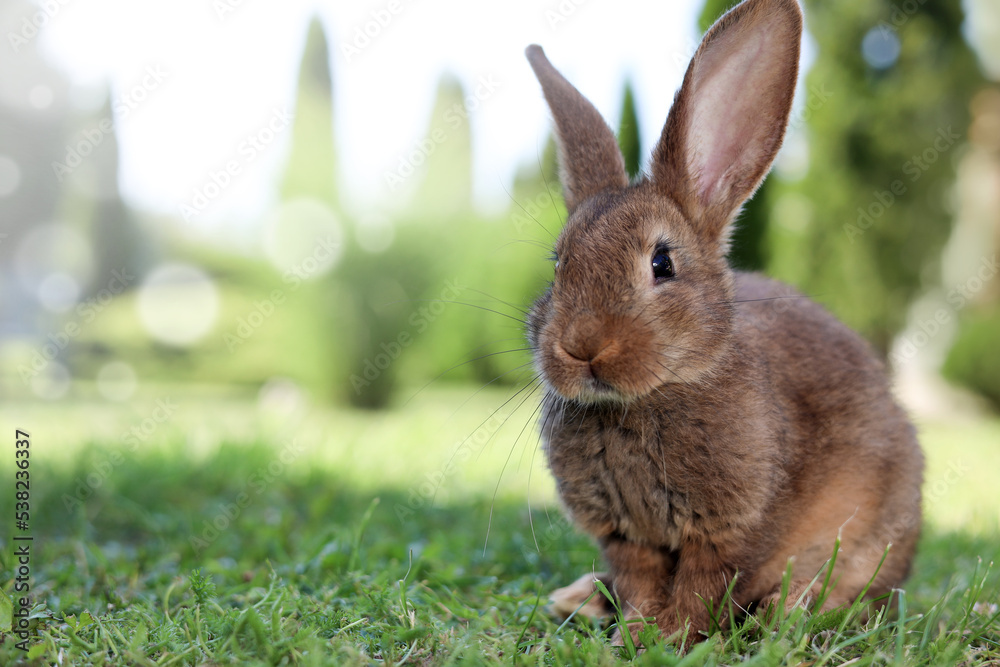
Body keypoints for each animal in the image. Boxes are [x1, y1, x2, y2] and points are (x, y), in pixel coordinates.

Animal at [523, 0, 925, 646]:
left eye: (662, 263)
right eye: (559, 264)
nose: (583, 347)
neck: (650, 396)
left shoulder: (732, 530)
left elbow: (702, 585)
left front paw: (667, 638)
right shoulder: (624, 535)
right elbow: (640, 579)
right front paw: (636, 631)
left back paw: (792, 610)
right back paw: (581, 599)